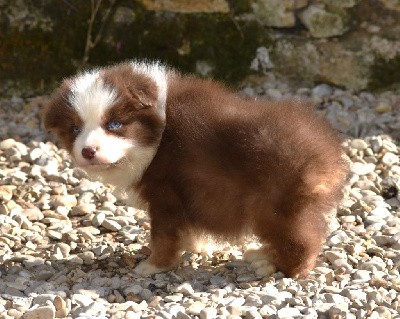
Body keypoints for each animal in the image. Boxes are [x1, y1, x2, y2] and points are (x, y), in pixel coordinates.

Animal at [42, 61, 346, 278]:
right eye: (75, 129)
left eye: (114, 124)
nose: (88, 151)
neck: (160, 132)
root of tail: (327, 156)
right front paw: (197, 246)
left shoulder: (165, 194)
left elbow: (164, 236)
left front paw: (153, 266)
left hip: (275, 206)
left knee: (302, 241)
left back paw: (279, 268)